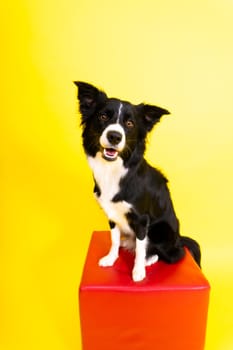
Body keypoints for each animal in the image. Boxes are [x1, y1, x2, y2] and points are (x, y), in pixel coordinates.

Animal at [74, 81, 200, 282]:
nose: (114, 136)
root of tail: (179, 239)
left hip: (162, 231)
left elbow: (141, 247)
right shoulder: (112, 214)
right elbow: (114, 238)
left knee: (174, 254)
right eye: (103, 116)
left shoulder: (142, 219)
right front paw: (111, 258)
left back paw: (151, 259)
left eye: (129, 123)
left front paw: (138, 271)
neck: (114, 170)